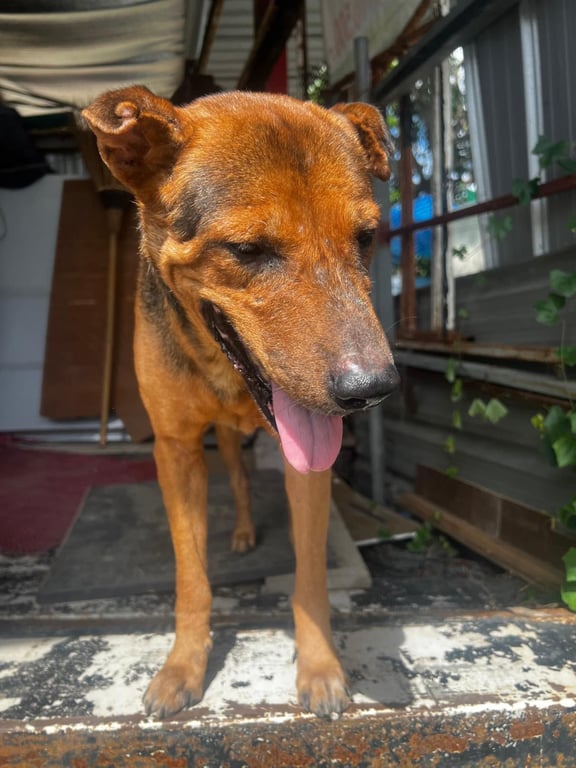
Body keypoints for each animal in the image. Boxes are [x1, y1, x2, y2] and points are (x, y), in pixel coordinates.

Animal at [83, 86, 399, 719]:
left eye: (365, 238)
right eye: (248, 250)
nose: (372, 390)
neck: (221, 369)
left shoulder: (310, 464)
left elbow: (310, 577)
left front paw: (320, 667)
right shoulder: (176, 450)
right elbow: (192, 577)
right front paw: (183, 666)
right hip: (222, 443)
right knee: (237, 477)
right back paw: (244, 532)